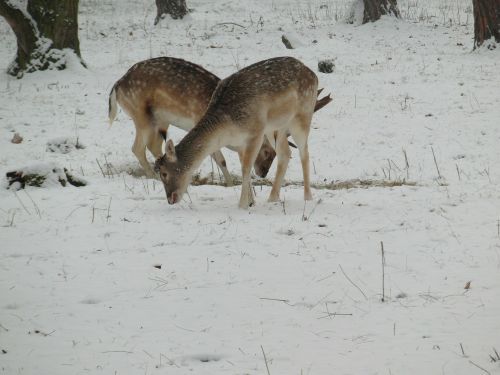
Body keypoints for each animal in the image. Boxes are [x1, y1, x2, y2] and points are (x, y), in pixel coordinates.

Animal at [108, 56, 280, 184]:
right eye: (267, 152)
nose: (263, 173)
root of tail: (117, 85)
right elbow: (220, 159)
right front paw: (230, 183)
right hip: (141, 116)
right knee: (137, 147)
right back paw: (154, 176)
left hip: (160, 120)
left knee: (153, 145)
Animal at [154, 56, 320, 209]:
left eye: (164, 173)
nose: (170, 199)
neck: (227, 129)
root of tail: (313, 75)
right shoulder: (241, 142)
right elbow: (244, 166)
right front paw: (251, 202)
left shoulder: (255, 132)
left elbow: (246, 168)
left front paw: (242, 205)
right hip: (275, 127)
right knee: (285, 153)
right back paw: (272, 198)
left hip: (302, 116)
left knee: (304, 153)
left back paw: (308, 197)